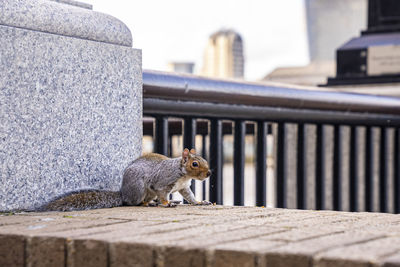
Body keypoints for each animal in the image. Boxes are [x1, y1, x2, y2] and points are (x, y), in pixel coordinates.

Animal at [39, 149, 211, 211]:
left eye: (204, 159)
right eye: (195, 164)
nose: (209, 173)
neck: (183, 173)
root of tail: (124, 193)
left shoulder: (183, 187)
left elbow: (190, 196)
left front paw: (199, 202)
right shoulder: (163, 182)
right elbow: (162, 194)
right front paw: (167, 203)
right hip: (140, 189)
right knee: (134, 202)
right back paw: (149, 204)